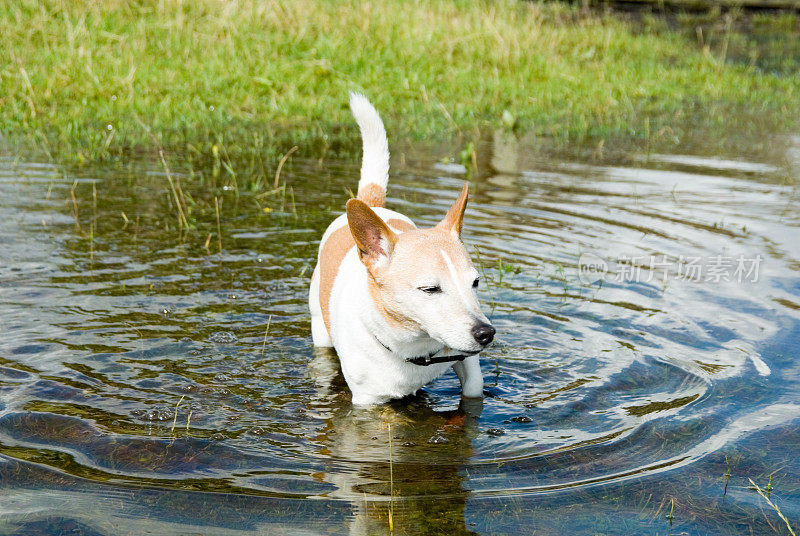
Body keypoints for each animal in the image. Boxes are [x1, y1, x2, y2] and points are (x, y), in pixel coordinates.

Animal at [308, 93, 490, 406]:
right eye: (430, 289)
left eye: (475, 282)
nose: (486, 333)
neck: (414, 346)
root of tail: (372, 202)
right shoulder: (367, 401)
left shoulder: (466, 360)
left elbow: (473, 387)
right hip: (319, 327)